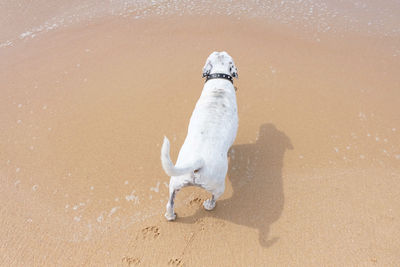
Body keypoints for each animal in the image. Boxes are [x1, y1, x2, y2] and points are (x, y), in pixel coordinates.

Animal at [162, 51, 239, 221]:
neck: (219, 80)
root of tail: (198, 162)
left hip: (175, 181)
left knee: (170, 202)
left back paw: (170, 216)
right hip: (218, 186)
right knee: (214, 197)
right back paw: (209, 205)